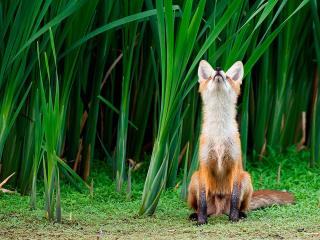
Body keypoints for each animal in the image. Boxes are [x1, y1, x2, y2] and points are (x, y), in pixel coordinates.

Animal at [188, 60, 296, 225]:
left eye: (227, 76)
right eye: (212, 75)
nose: (218, 69)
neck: (219, 134)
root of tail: (219, 210)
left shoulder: (235, 166)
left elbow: (234, 198)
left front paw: (234, 218)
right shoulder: (205, 166)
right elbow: (202, 202)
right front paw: (201, 220)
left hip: (246, 178)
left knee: (241, 206)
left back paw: (241, 214)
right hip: (194, 178)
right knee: (202, 206)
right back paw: (195, 215)